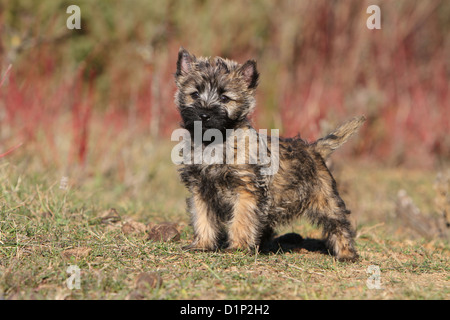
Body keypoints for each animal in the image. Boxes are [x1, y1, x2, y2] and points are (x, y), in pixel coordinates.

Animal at [174, 48, 364, 262]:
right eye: (194, 94)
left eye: (224, 98)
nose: (204, 115)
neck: (214, 142)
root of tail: (313, 148)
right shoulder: (200, 190)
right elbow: (202, 217)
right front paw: (202, 244)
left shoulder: (246, 191)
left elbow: (241, 219)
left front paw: (237, 247)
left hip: (326, 200)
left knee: (339, 225)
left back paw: (347, 254)